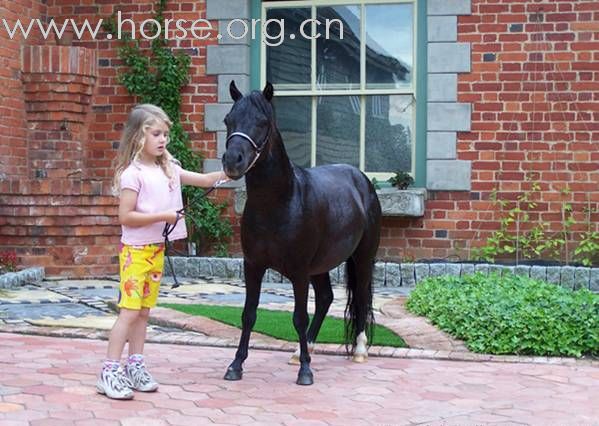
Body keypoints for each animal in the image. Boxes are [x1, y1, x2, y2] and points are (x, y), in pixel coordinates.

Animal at [223, 81, 382, 384]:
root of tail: (362, 180)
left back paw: (358, 350)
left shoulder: (298, 271)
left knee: (361, 296)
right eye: (228, 120)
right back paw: (300, 350)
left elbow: (298, 317)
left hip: (362, 258)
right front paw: (235, 365)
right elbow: (249, 314)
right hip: (319, 266)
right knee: (326, 298)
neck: (278, 203)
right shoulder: (253, 266)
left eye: (262, 122)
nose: (232, 161)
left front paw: (305, 372)